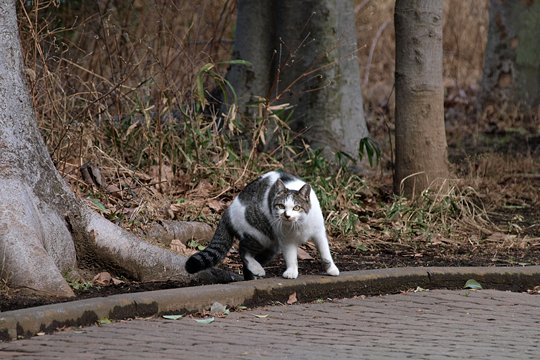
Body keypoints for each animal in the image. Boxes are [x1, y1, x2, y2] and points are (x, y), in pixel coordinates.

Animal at [185, 170, 338, 280]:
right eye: (281, 206)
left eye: (296, 208)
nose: (286, 215)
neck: (299, 224)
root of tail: (227, 211)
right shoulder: (286, 239)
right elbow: (291, 257)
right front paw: (291, 272)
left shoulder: (319, 233)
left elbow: (325, 253)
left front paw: (331, 269)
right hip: (259, 235)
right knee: (243, 250)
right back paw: (257, 268)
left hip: (271, 247)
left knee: (249, 261)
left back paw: (252, 275)